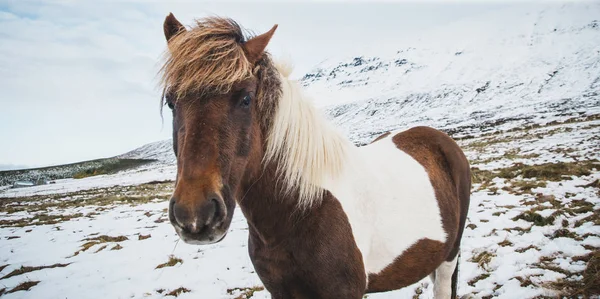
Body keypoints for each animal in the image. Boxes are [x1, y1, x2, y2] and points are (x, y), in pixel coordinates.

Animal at [162, 12, 472, 298]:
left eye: (246, 98)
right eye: (171, 102)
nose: (195, 215)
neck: (302, 208)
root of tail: (440, 138)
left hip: (449, 257)